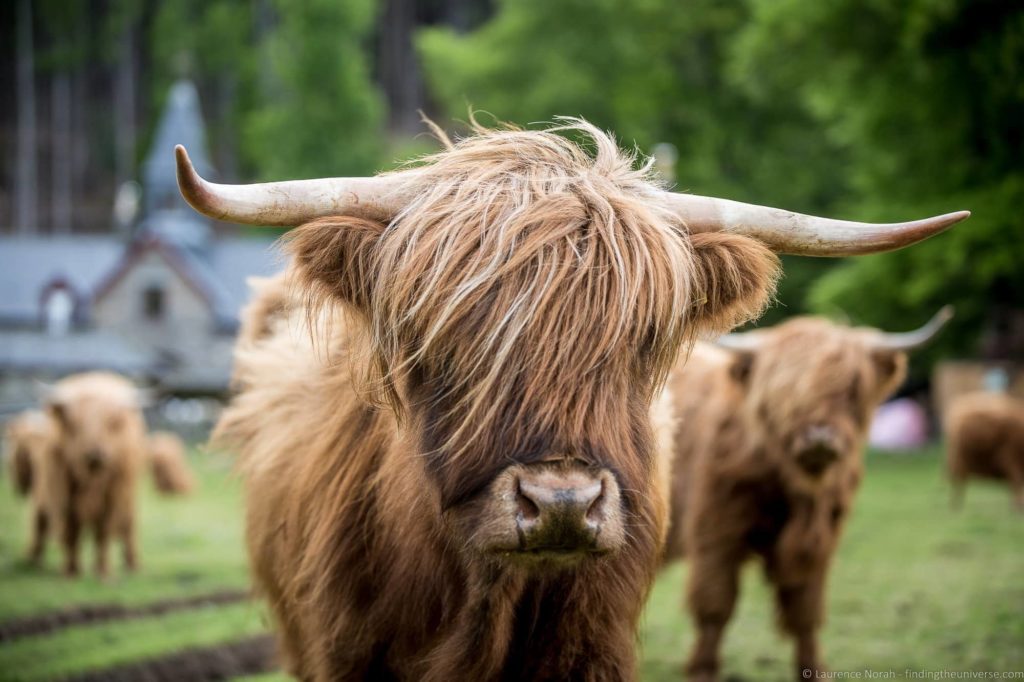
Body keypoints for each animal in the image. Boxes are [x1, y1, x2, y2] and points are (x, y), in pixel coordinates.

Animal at [663, 309, 950, 679]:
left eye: (852, 386)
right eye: (781, 391)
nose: (819, 439)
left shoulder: (821, 540)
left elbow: (805, 613)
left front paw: (813, 669)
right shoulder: (715, 532)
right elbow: (715, 605)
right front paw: (702, 670)